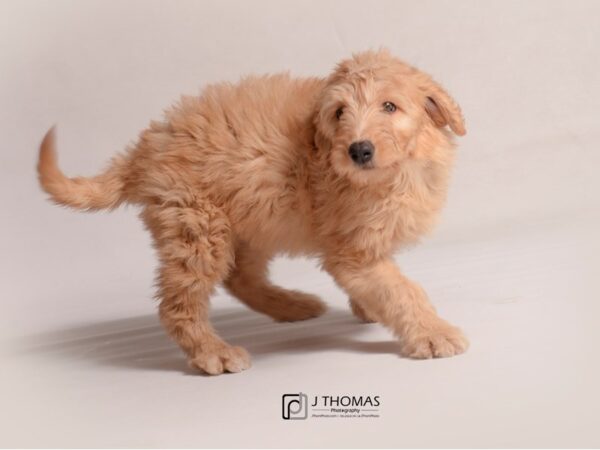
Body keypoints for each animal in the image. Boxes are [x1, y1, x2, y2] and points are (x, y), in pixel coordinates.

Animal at [37, 49, 468, 374]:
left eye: (390, 106)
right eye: (339, 113)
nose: (358, 150)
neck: (396, 171)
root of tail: (144, 150)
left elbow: (382, 281)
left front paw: (369, 308)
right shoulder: (353, 251)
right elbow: (401, 290)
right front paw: (433, 333)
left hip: (254, 218)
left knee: (240, 277)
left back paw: (291, 305)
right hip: (198, 228)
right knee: (179, 304)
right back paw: (214, 352)